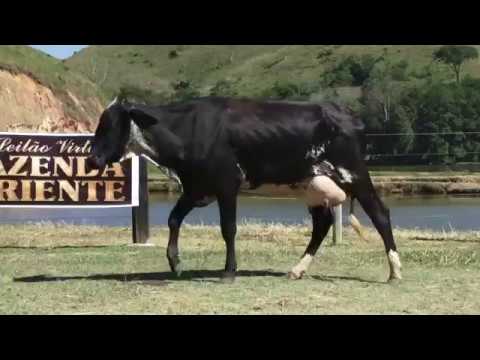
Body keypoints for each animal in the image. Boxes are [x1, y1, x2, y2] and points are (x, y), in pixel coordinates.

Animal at [87, 97, 402, 282]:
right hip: (311, 185)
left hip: (354, 173)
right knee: (322, 224)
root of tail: (347, 113)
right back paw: (297, 269)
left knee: (380, 213)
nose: (91, 159)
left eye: (110, 125)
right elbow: (173, 219)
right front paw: (175, 263)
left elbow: (228, 229)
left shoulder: (227, 184)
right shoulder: (196, 187)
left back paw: (395, 270)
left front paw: (229, 271)